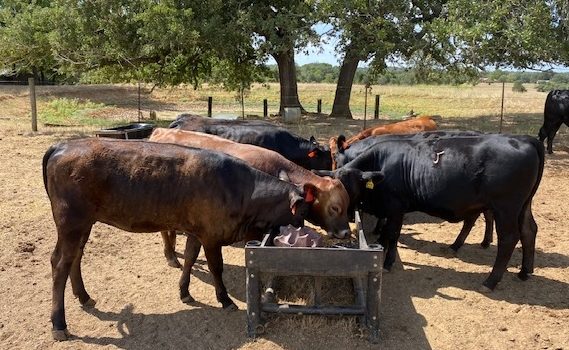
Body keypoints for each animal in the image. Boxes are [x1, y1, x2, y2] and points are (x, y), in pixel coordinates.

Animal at [43, 138, 310, 340]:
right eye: (303, 209)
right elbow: (216, 267)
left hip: (84, 224)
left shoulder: (195, 231)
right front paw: (224, 299)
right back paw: (59, 324)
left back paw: (84, 296)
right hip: (71, 222)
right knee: (60, 263)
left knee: (75, 257)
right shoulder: (211, 235)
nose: (302, 225)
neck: (243, 190)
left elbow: (190, 258)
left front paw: (184, 291)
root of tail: (63, 144)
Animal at [318, 133, 544, 292]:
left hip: (505, 208)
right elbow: (386, 234)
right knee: (528, 230)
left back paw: (490, 281)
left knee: (508, 238)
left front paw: (388, 262)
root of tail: (525, 139)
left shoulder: (396, 208)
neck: (381, 163)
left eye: (351, 189)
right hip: (522, 206)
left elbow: (392, 234)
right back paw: (524, 271)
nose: (345, 214)